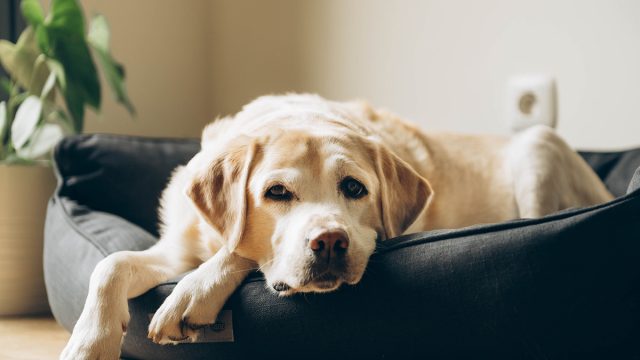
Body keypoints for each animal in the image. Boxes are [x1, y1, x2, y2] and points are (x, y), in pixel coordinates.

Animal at [62, 94, 612, 358]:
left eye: (354, 188)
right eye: (276, 193)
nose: (329, 242)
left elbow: (240, 251)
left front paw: (194, 293)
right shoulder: (176, 249)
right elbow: (110, 265)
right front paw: (88, 344)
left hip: (538, 145)